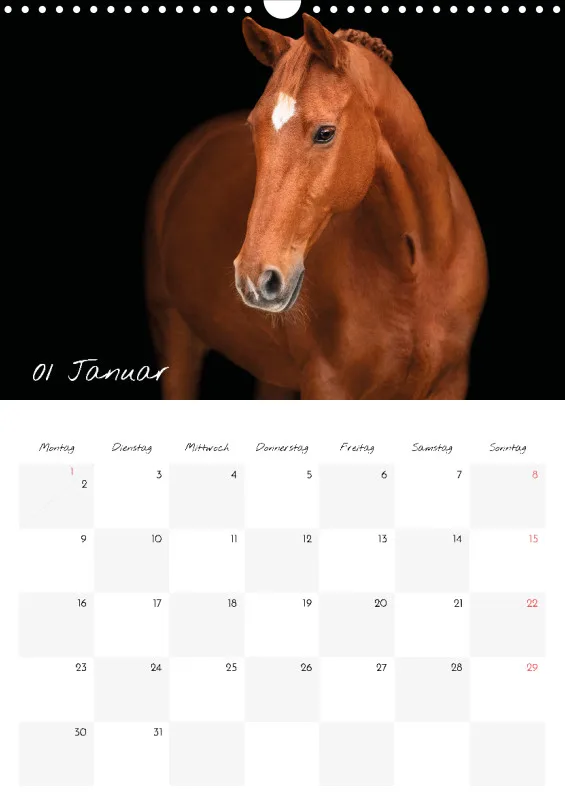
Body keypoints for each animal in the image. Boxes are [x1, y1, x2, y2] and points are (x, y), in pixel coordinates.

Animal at [145, 13, 487, 399]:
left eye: (325, 133)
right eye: (253, 127)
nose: (254, 278)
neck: (416, 271)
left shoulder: (451, 382)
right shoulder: (327, 385)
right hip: (175, 338)